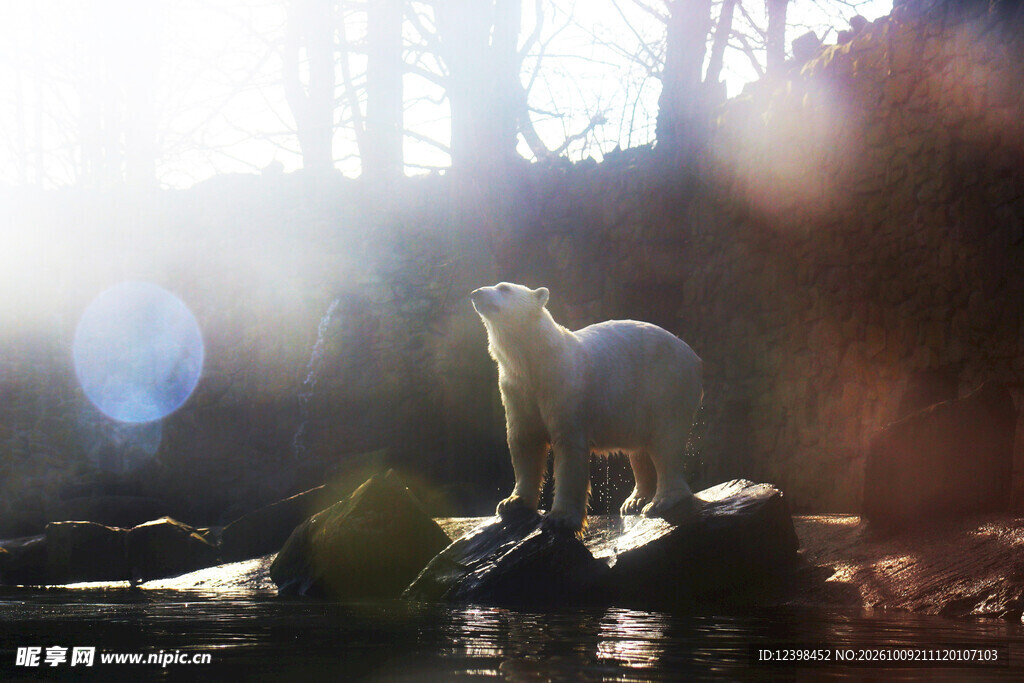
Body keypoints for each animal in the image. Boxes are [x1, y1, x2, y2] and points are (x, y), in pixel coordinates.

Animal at [470, 282, 703, 532]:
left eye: (504, 288)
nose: (476, 293)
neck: (535, 361)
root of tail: (694, 357)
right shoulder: (517, 389)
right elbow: (525, 440)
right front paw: (511, 502)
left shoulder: (564, 384)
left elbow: (568, 447)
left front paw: (561, 517)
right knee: (641, 449)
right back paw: (635, 500)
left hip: (664, 385)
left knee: (665, 440)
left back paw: (661, 501)